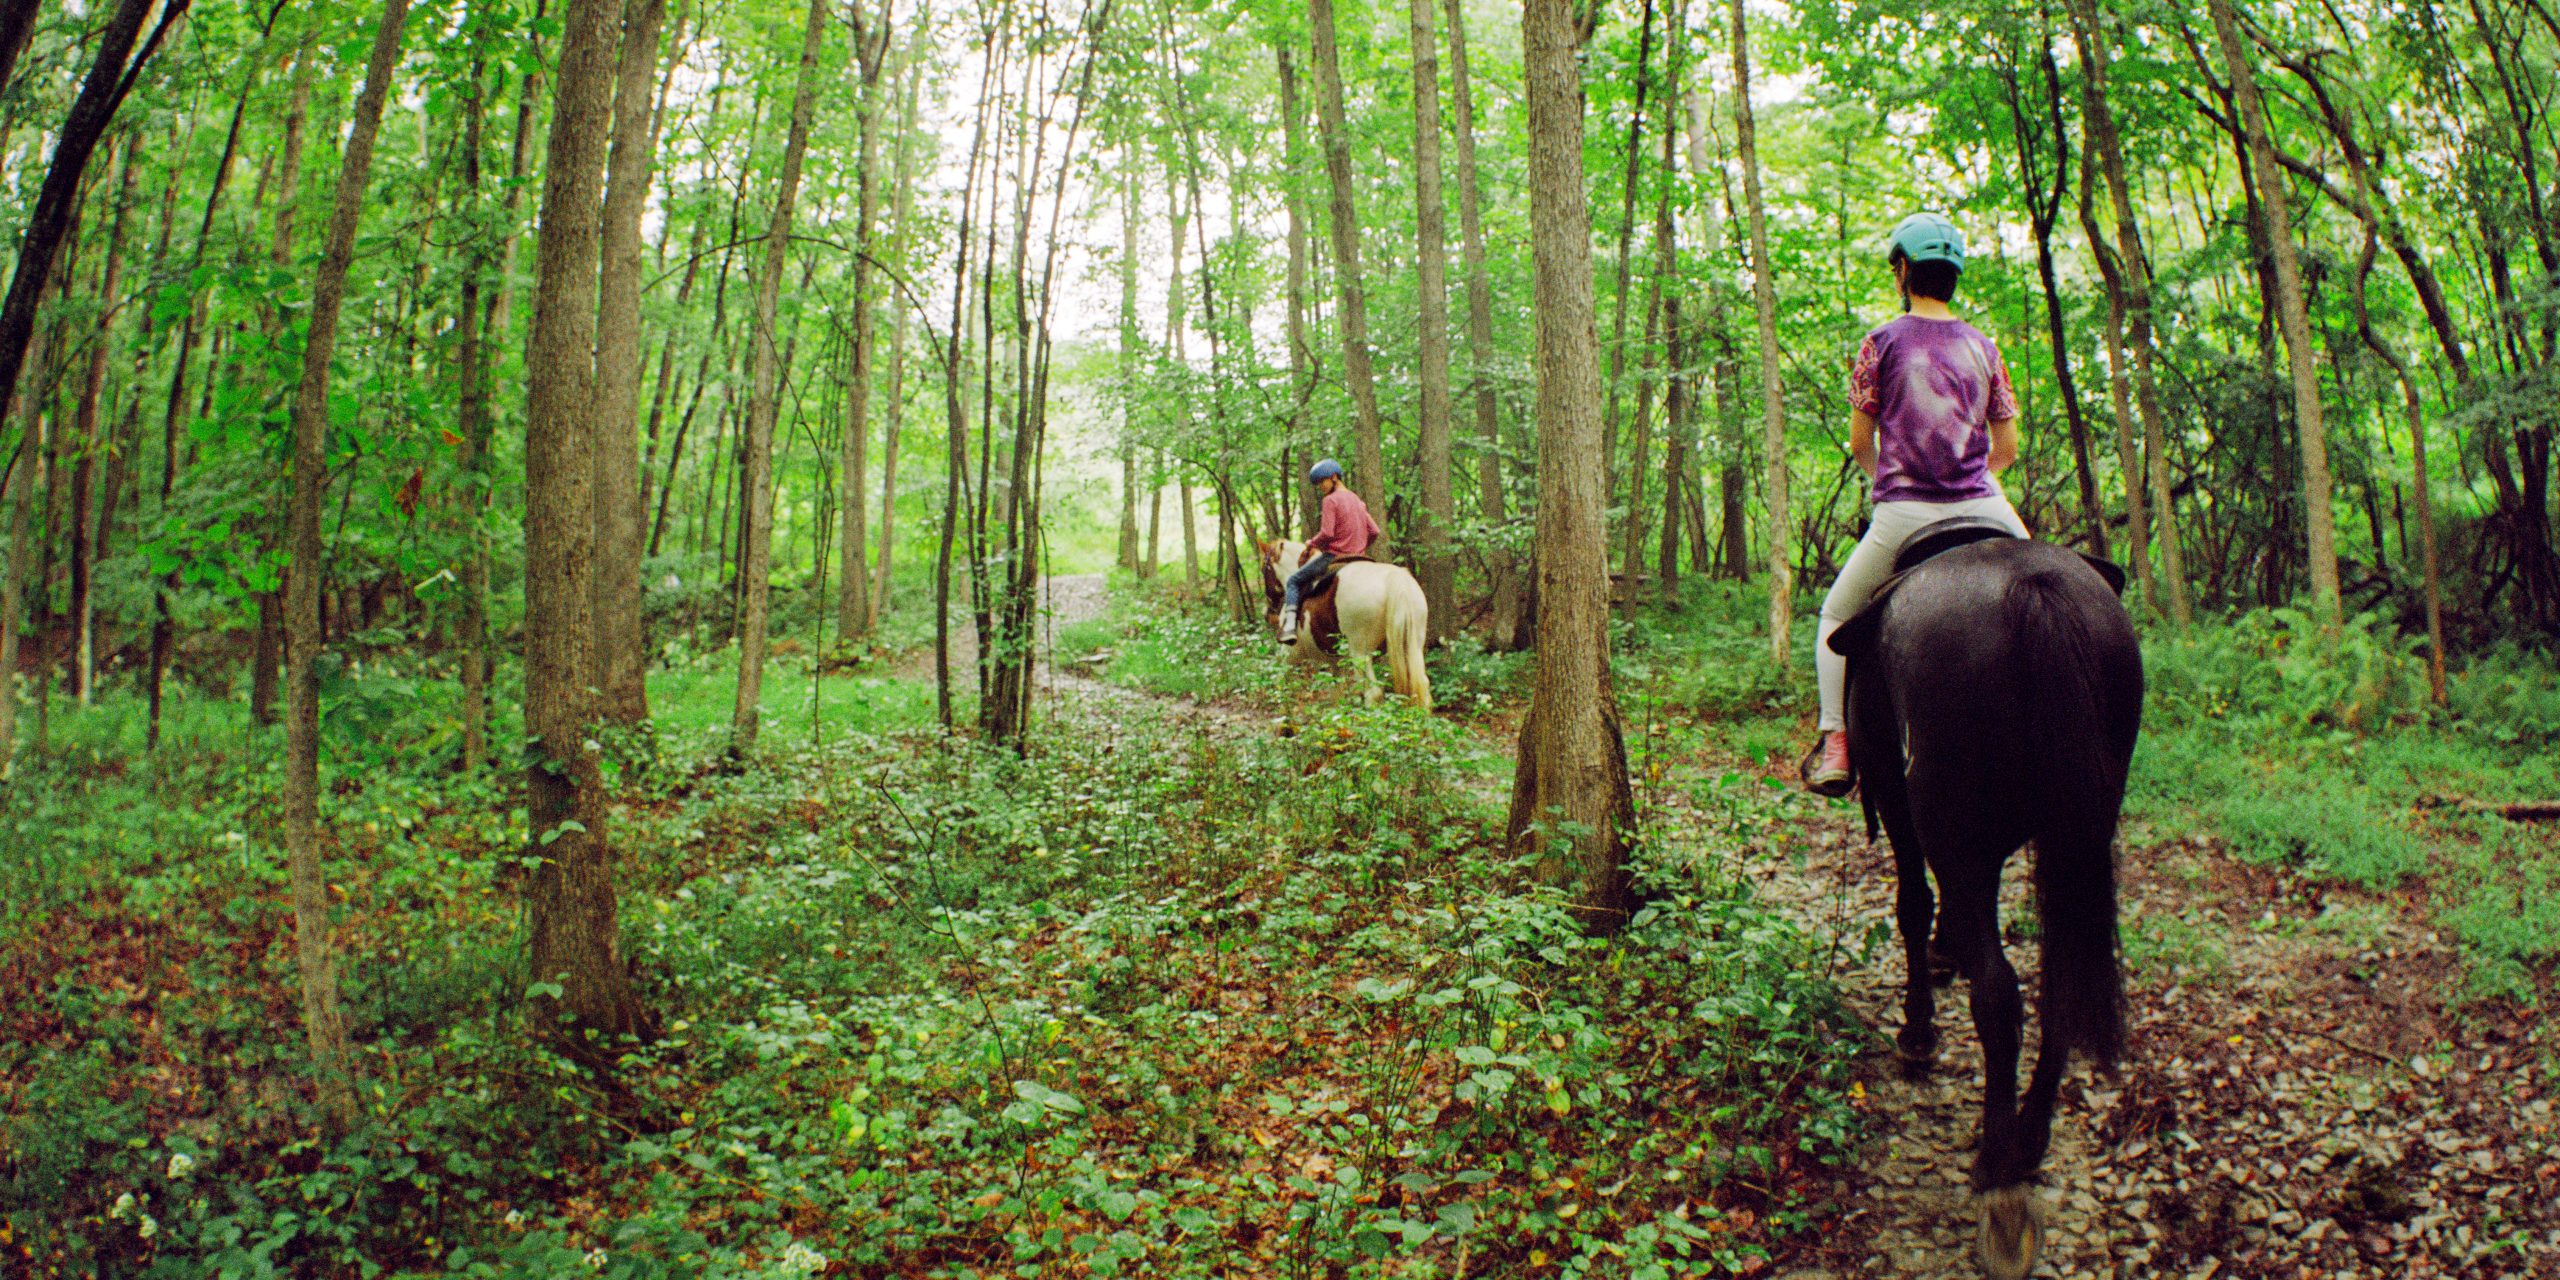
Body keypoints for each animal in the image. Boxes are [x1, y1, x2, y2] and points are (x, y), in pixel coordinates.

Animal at [1264, 537, 1443, 711]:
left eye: (1265, 568)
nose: (1268, 612)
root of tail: (1395, 578)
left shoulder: (1292, 651)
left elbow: (1281, 678)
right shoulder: (1333, 658)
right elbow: (1336, 691)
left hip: (1360, 652)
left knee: (1372, 692)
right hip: (1413, 645)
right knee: (1422, 688)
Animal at [1832, 519, 2150, 1280]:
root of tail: (2035, 590)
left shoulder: (1903, 804)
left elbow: (1914, 905)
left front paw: (1918, 1031)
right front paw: (1948, 954)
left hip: (1944, 816)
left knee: (2000, 995)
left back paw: (1999, 1173)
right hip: (2081, 826)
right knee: (2060, 982)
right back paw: (2028, 1140)